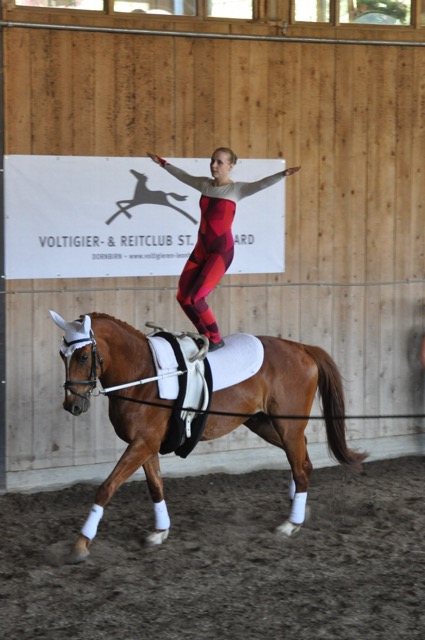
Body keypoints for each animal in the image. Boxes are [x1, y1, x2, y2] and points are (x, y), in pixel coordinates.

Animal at [49, 312, 366, 564]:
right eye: (63, 355)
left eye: (84, 356)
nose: (72, 405)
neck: (143, 374)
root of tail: (301, 348)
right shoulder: (146, 445)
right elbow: (155, 486)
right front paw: (160, 531)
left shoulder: (142, 444)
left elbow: (106, 487)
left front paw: (81, 544)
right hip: (264, 424)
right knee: (301, 459)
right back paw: (299, 507)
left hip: (287, 426)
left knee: (301, 466)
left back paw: (291, 523)